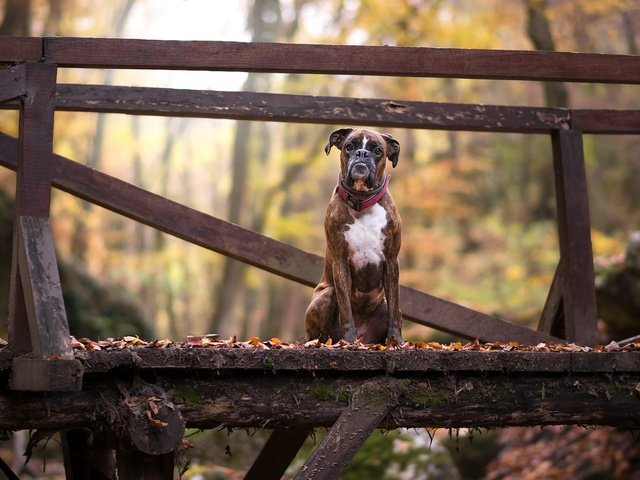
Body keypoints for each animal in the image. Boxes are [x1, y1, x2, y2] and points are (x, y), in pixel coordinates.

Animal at [304, 127, 402, 344]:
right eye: (349, 146)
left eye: (377, 150)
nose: (362, 154)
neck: (362, 200)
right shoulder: (340, 261)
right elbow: (345, 308)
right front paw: (348, 341)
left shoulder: (392, 261)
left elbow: (395, 309)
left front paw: (396, 341)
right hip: (326, 295)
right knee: (316, 335)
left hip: (381, 305)